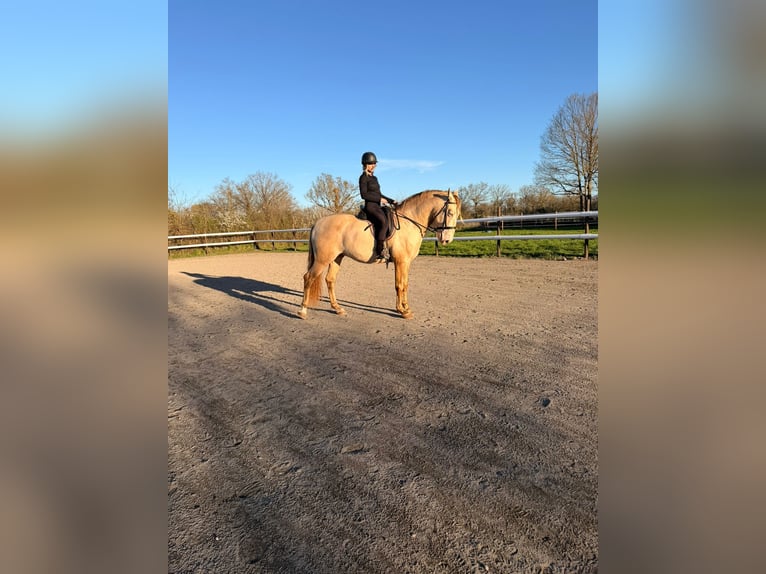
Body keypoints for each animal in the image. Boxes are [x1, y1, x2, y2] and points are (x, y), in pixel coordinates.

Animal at [297, 189, 461, 320]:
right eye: (450, 212)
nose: (447, 239)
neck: (409, 223)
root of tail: (318, 223)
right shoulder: (400, 261)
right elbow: (399, 285)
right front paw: (402, 311)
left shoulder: (406, 262)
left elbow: (405, 284)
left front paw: (406, 308)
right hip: (322, 260)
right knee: (308, 278)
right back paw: (303, 311)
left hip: (336, 258)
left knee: (330, 280)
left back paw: (338, 308)